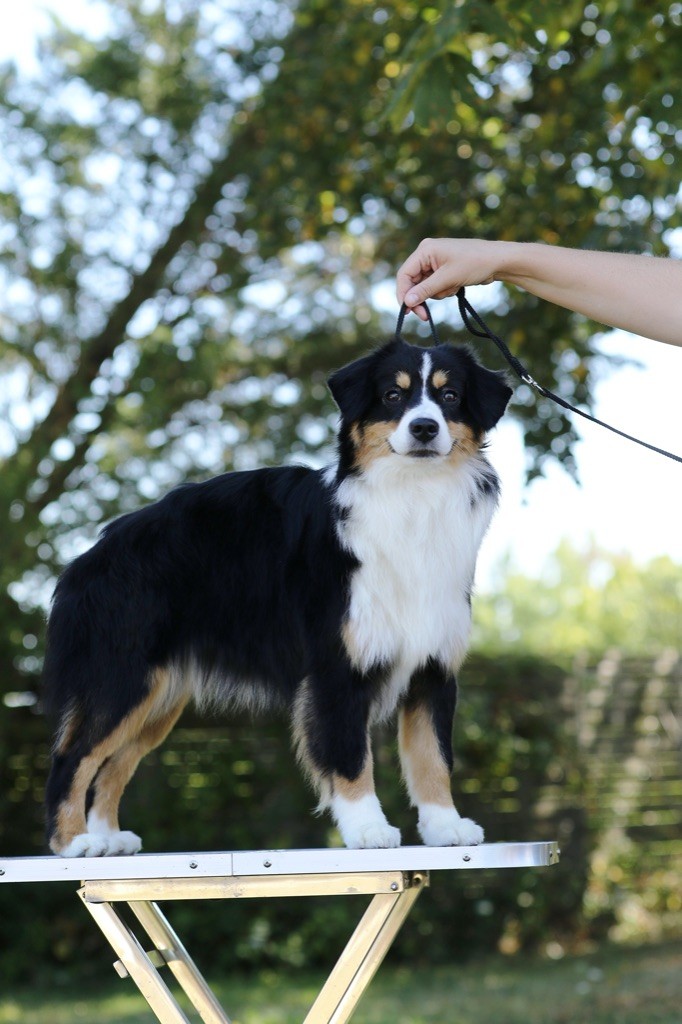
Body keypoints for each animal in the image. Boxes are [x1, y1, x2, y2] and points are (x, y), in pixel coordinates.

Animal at [43, 335, 509, 856]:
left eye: (450, 396)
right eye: (393, 395)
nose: (424, 427)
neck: (413, 496)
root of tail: (89, 556)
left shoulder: (434, 665)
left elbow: (434, 756)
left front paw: (446, 827)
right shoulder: (336, 665)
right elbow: (350, 755)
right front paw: (368, 829)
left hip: (158, 696)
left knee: (112, 764)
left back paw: (107, 837)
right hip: (121, 676)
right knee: (72, 758)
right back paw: (73, 844)